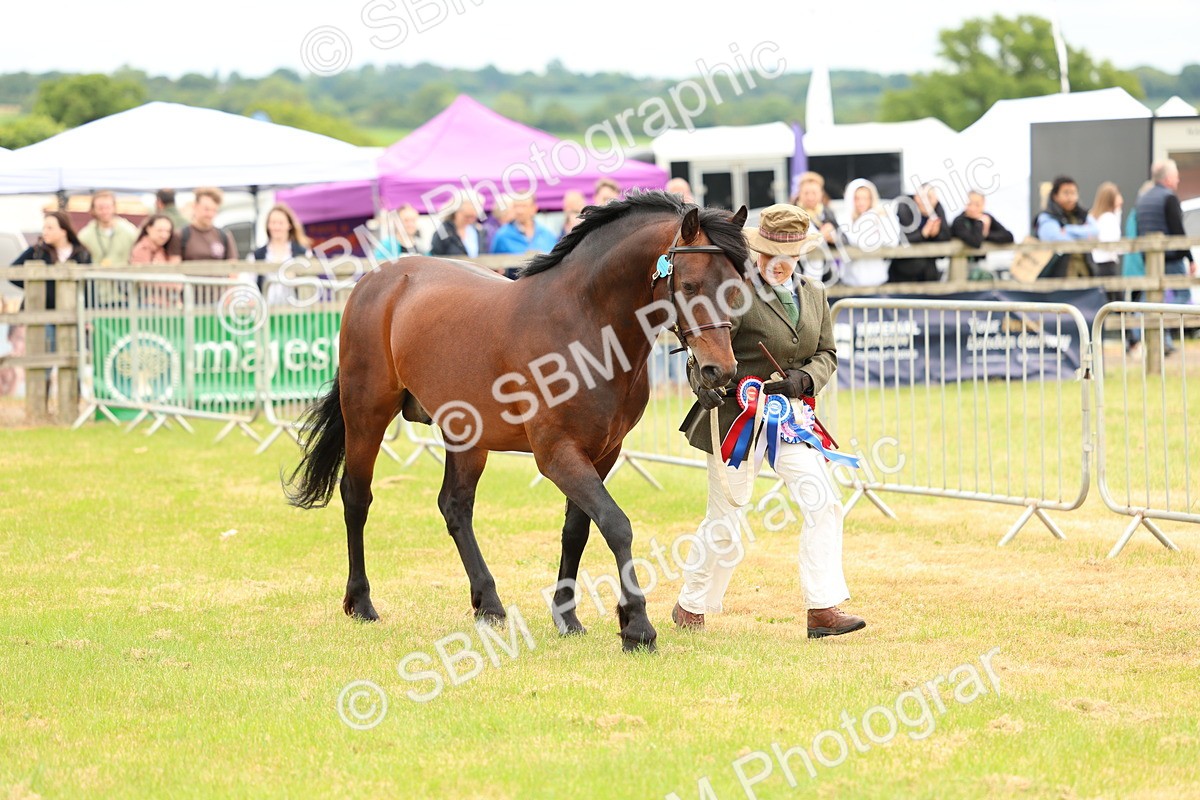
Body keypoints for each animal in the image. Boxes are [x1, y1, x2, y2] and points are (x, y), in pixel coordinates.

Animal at [284, 191, 749, 652]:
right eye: (688, 285)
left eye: (734, 286)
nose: (720, 371)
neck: (584, 324)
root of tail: (377, 279)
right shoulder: (557, 454)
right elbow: (616, 524)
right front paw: (636, 626)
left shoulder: (602, 453)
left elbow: (577, 530)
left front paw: (567, 617)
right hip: (366, 415)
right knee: (356, 498)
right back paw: (362, 603)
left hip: (466, 438)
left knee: (455, 506)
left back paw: (488, 603)